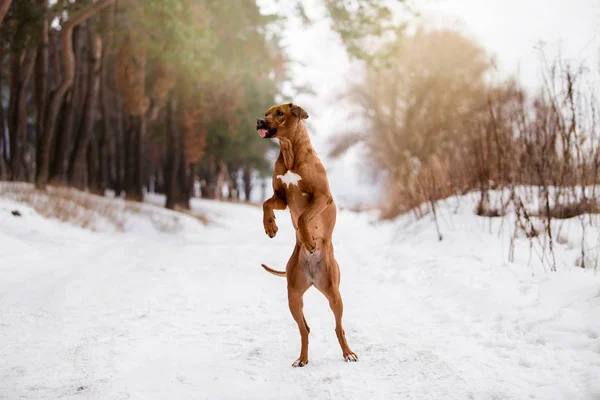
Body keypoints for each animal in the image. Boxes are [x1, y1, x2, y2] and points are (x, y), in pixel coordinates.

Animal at [256, 102, 358, 366]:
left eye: (279, 113)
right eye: (266, 111)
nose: (259, 121)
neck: (289, 152)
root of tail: (312, 275)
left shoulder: (322, 196)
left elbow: (303, 217)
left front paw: (309, 240)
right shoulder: (280, 196)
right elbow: (266, 203)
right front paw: (270, 226)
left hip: (334, 293)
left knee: (339, 327)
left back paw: (348, 353)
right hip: (293, 296)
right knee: (305, 329)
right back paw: (302, 359)